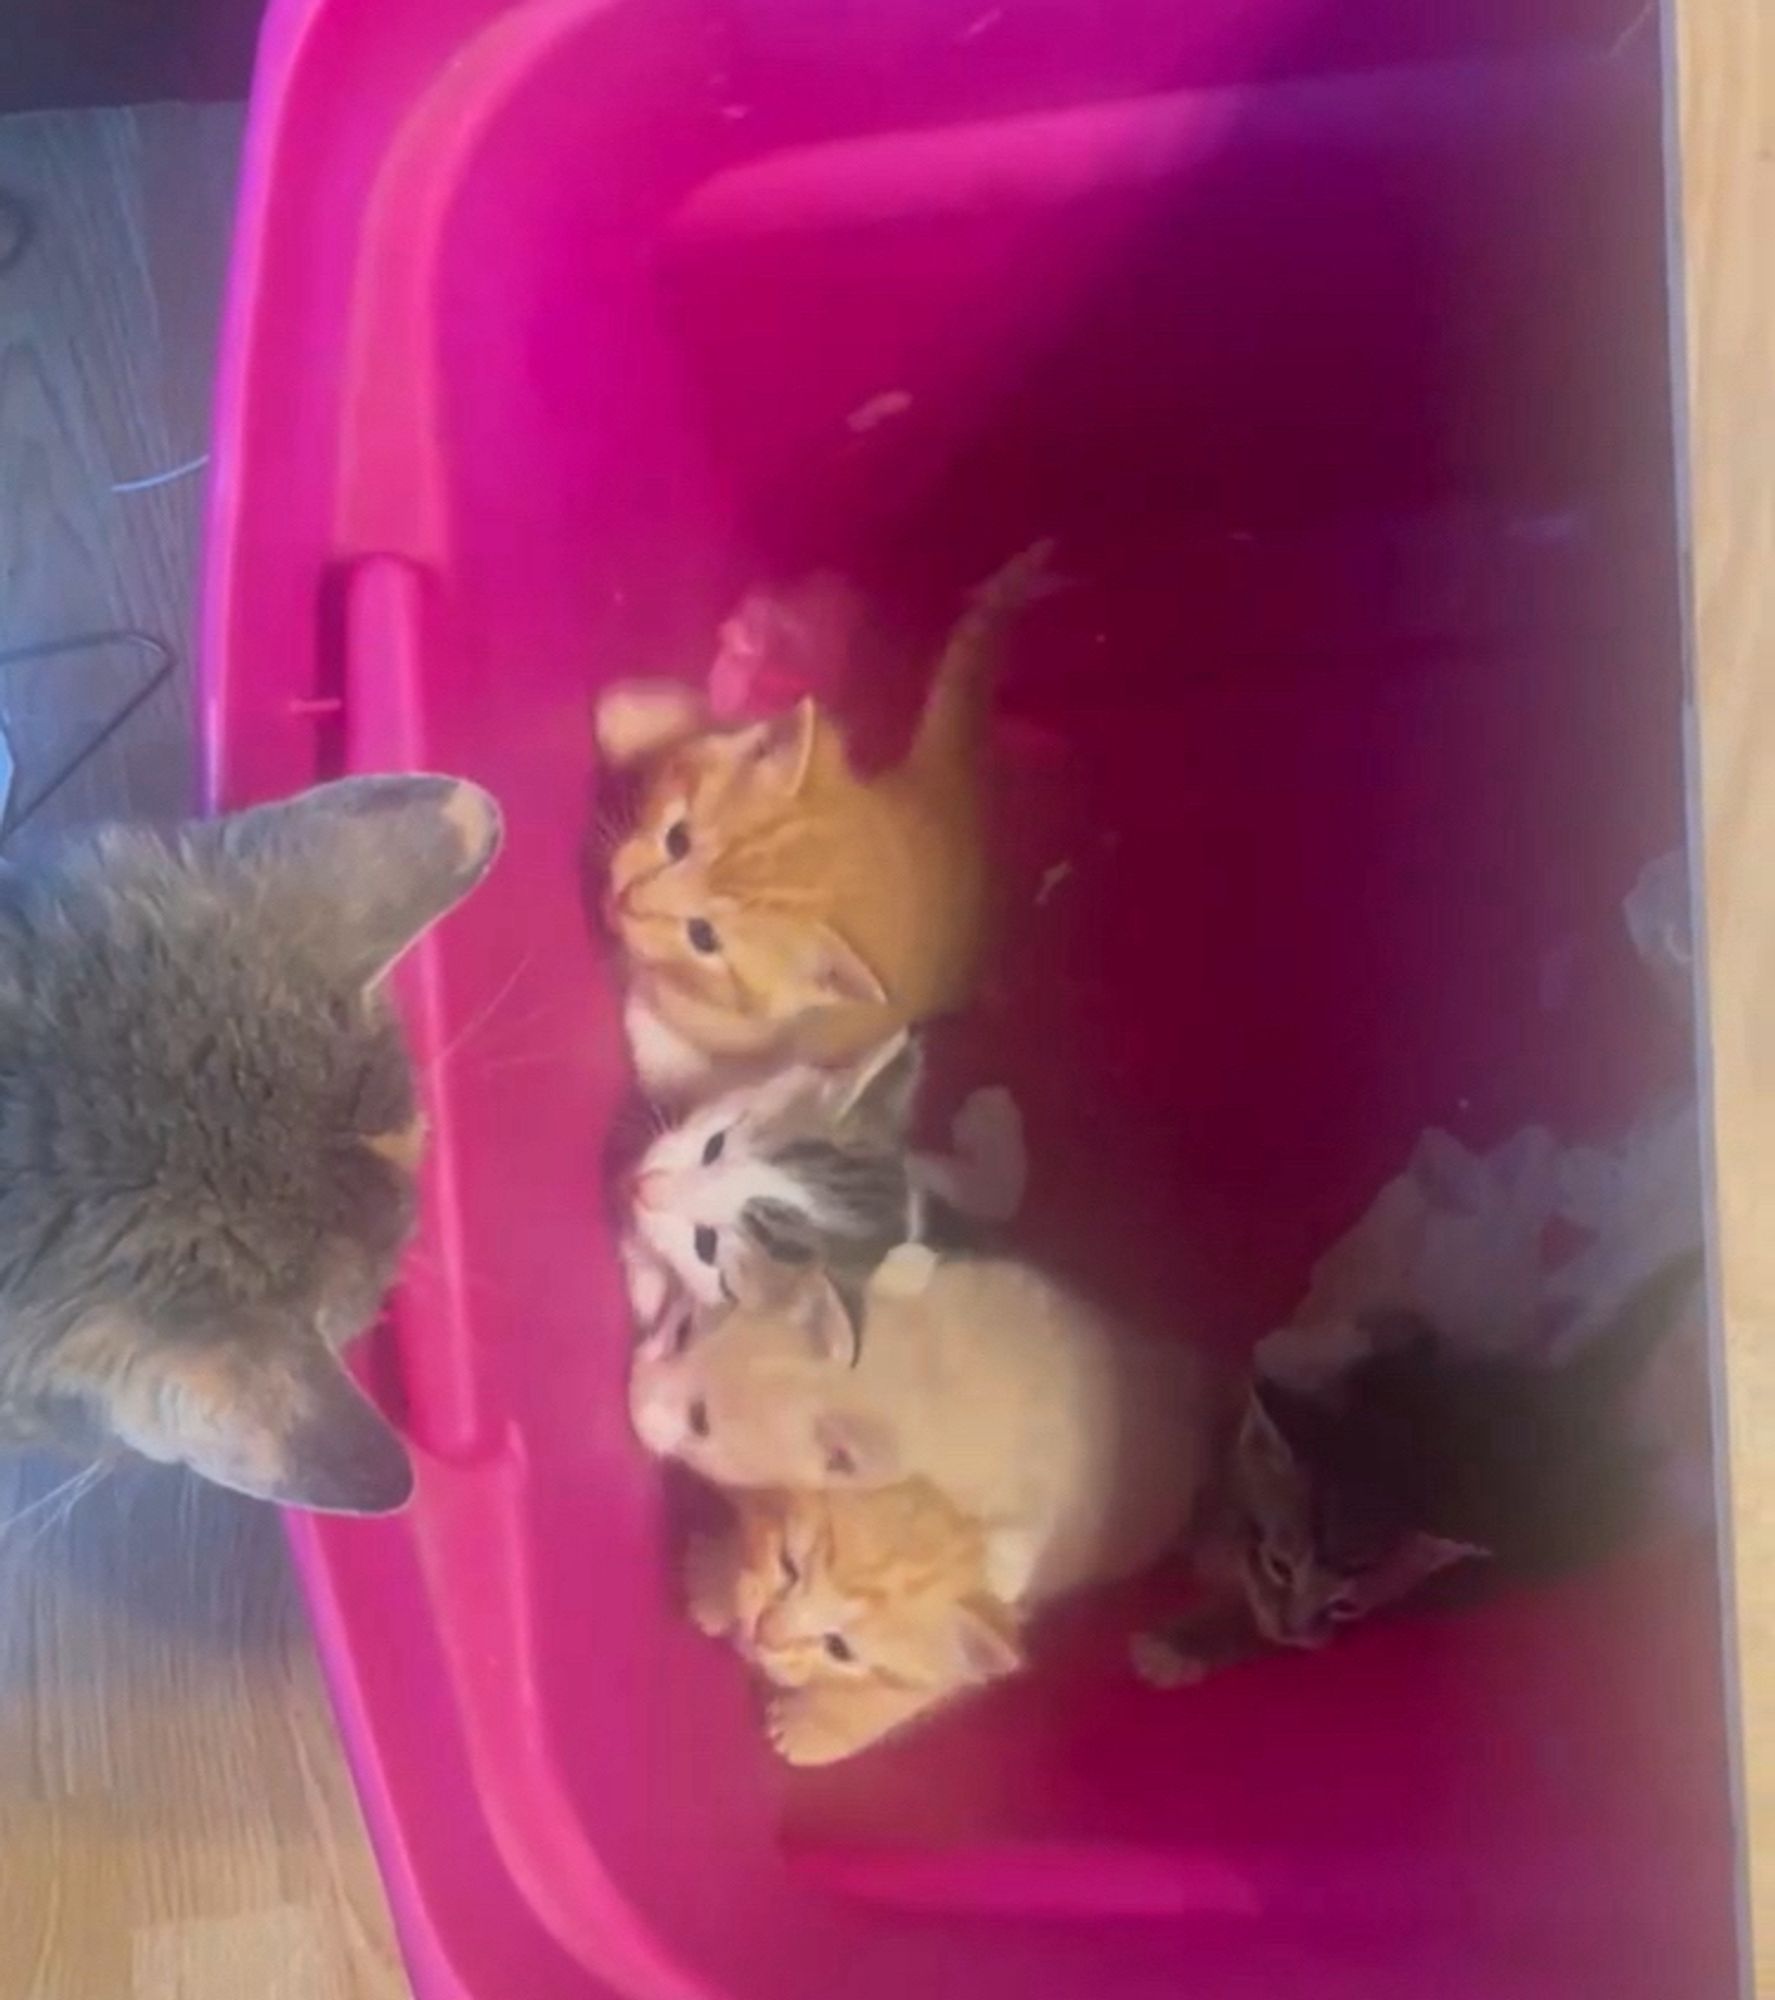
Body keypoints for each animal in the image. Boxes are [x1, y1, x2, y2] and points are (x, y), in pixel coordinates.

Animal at [687, 1480, 1019, 1760]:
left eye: (839, 1649)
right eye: (788, 1566)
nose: (762, 1633)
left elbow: (900, 1694)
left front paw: (813, 1728)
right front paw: (717, 1582)